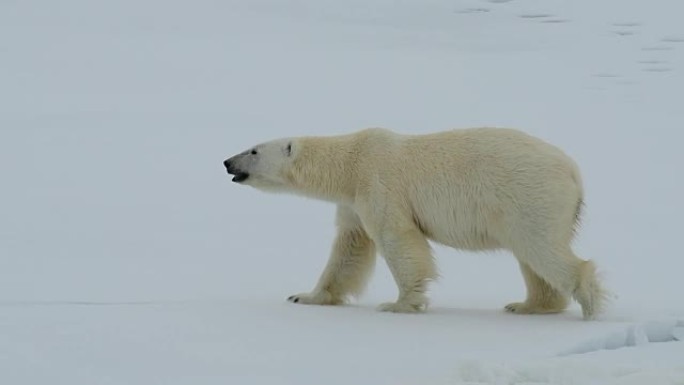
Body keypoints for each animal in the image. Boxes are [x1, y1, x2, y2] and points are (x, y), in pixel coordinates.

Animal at [224, 127, 608, 320]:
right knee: (531, 257)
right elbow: (349, 248)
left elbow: (397, 238)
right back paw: (528, 305)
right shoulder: (352, 201)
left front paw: (399, 304)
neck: (350, 164)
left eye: (254, 150)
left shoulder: (378, 183)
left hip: (529, 196)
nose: (227, 162)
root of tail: (574, 172)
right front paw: (305, 296)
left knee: (541, 248)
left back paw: (589, 305)